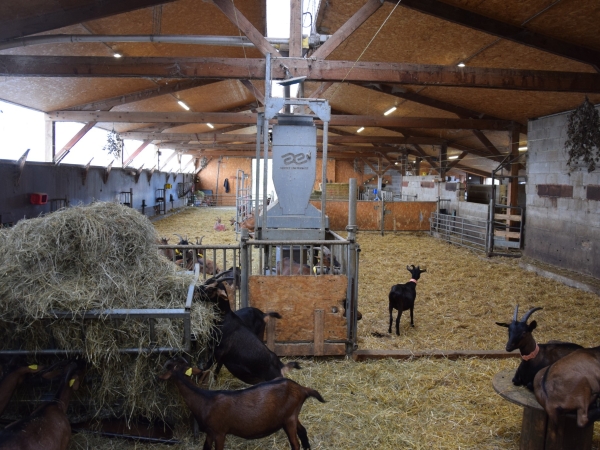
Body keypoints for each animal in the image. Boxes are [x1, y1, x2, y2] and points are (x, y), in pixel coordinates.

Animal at [159, 358, 326, 450]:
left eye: (168, 367)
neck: (205, 399)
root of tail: (302, 389)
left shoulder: (219, 432)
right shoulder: (210, 432)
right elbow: (205, 448)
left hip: (289, 419)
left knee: (295, 444)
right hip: (292, 415)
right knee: (303, 432)